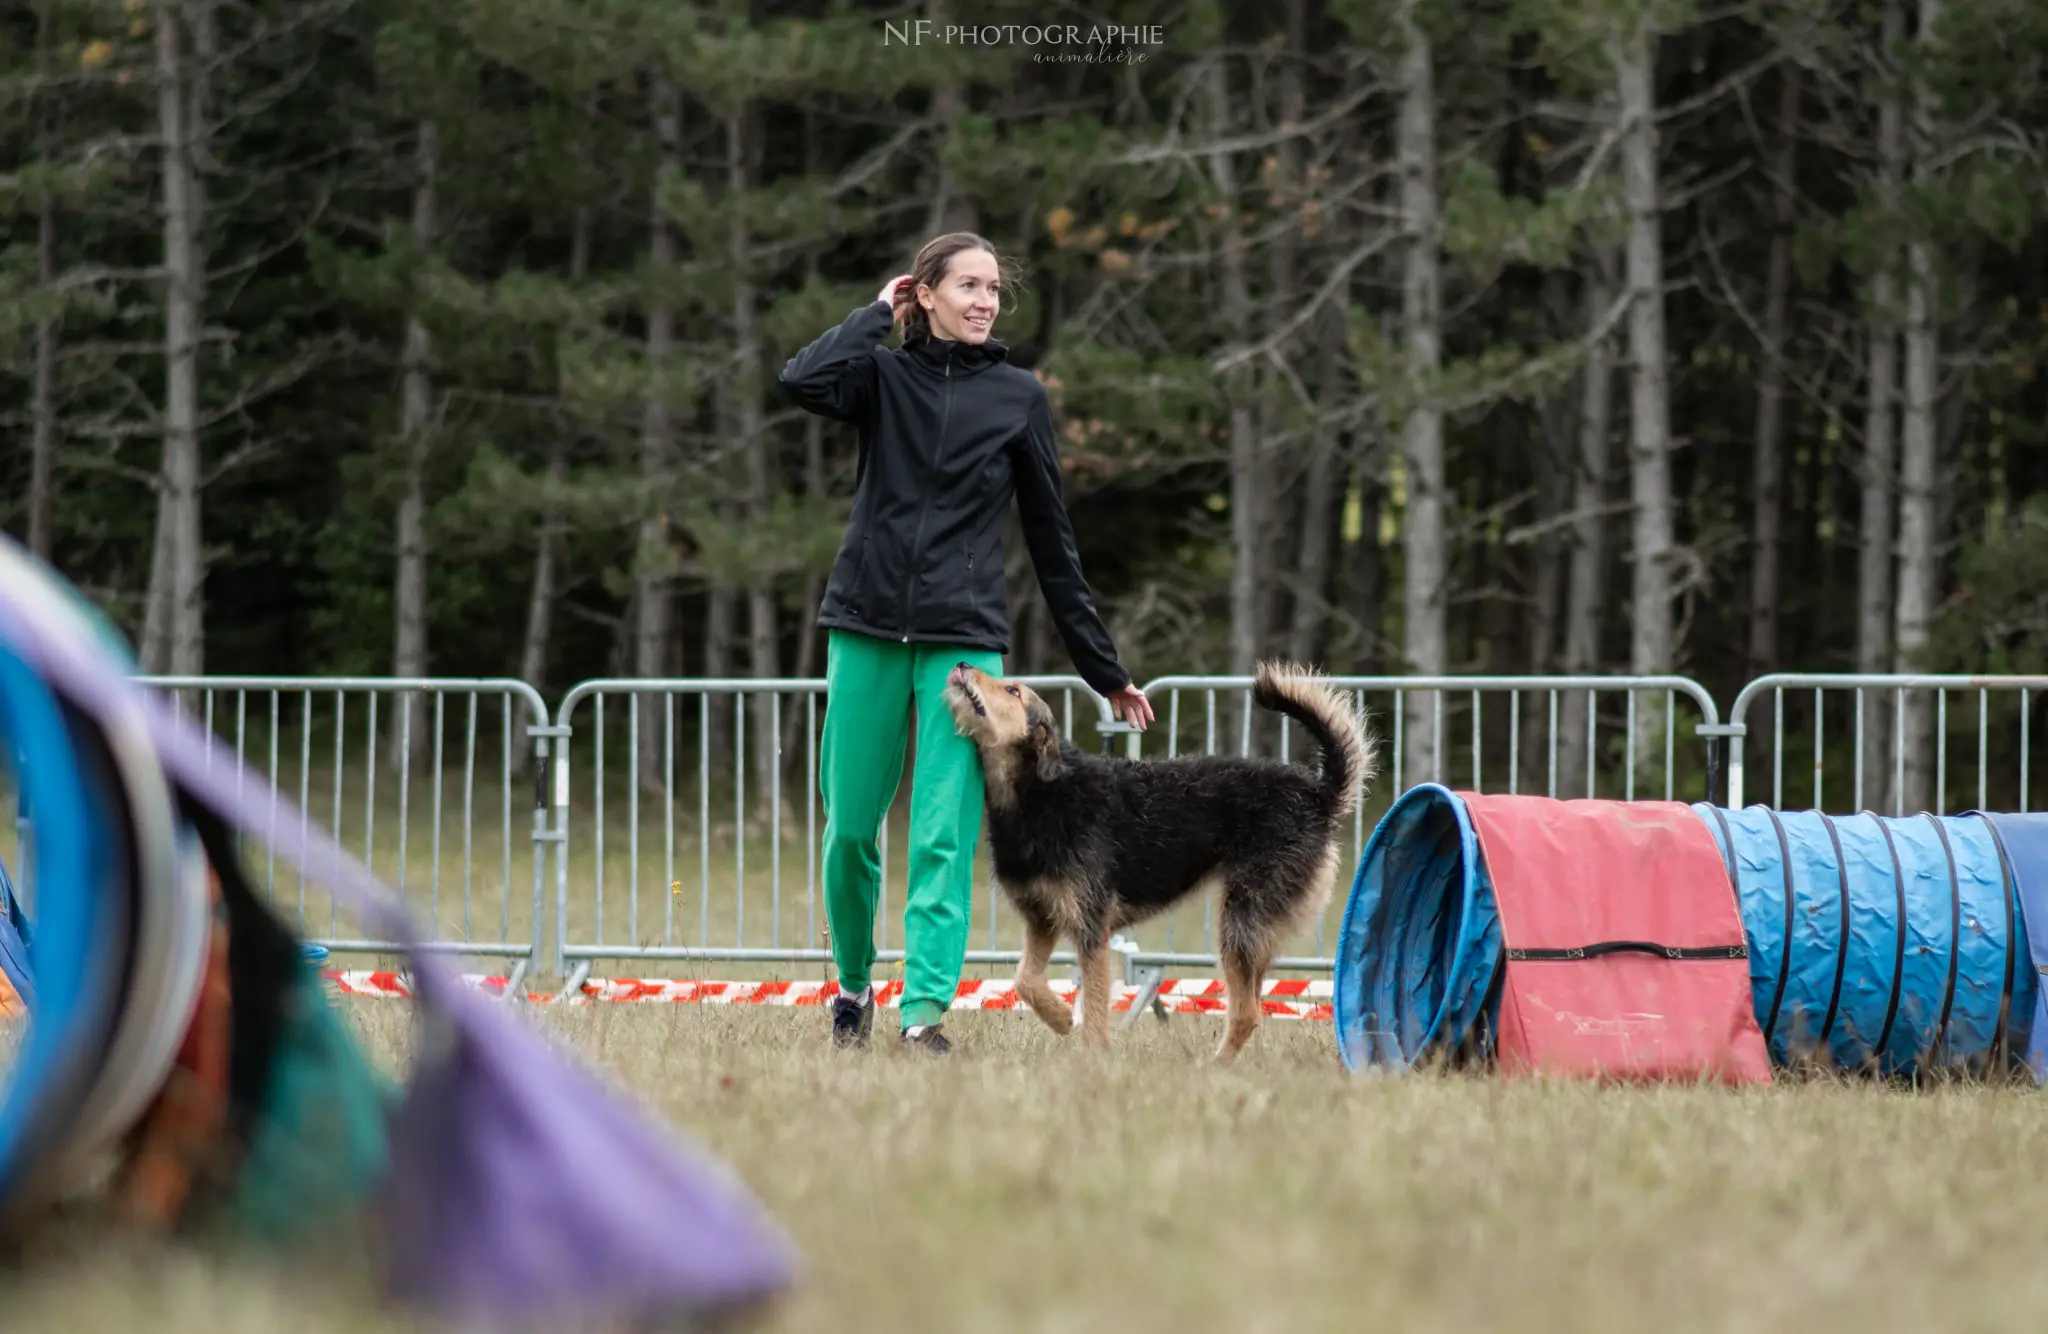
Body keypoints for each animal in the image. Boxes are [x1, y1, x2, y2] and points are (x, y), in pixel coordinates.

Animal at [942, 659, 1376, 1065]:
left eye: (1013, 691)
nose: (962, 664)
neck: (1041, 792)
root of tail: (1318, 794)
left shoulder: (1091, 929)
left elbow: (1095, 1004)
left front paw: (1093, 1059)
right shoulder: (1042, 919)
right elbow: (1024, 979)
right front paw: (1061, 1017)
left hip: (1241, 922)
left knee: (1247, 1012)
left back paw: (1213, 1068)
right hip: (1255, 930)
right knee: (1252, 1005)